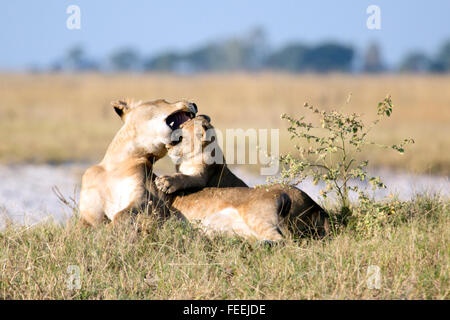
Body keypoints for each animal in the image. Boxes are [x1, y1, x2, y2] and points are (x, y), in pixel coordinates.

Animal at [157, 115, 330, 238]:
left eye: (182, 130)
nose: (168, 141)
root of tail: (317, 207)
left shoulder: (202, 178)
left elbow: (184, 178)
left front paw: (165, 182)